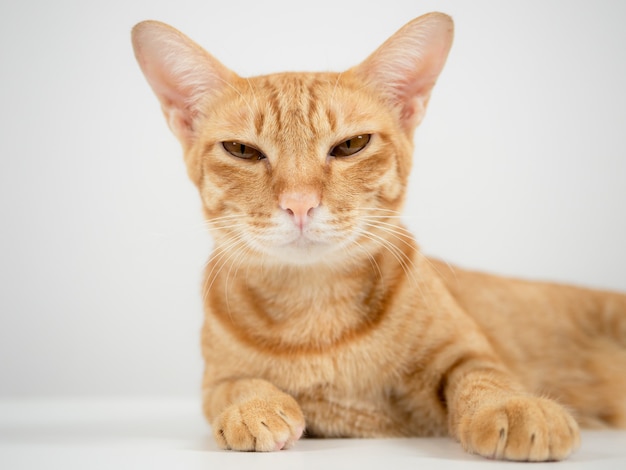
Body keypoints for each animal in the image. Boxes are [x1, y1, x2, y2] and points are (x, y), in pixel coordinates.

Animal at [132, 12, 624, 460]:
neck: (315, 307)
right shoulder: (214, 380)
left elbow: (485, 378)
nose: (299, 204)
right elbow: (233, 387)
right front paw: (254, 406)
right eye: (242, 151)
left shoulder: (466, 352)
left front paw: (517, 407)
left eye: (351, 145)